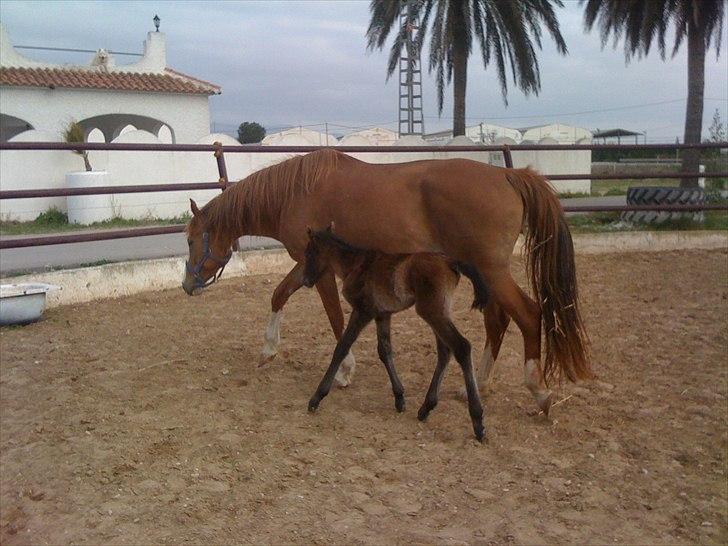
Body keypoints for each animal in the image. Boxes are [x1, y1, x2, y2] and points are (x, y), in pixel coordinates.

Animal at [302, 223, 490, 440]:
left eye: (309, 253)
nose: (306, 280)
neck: (355, 265)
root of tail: (450, 261)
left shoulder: (363, 311)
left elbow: (342, 347)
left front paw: (316, 397)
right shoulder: (383, 314)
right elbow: (384, 350)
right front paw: (399, 398)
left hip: (431, 312)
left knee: (461, 347)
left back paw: (477, 421)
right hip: (439, 312)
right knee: (445, 351)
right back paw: (426, 408)